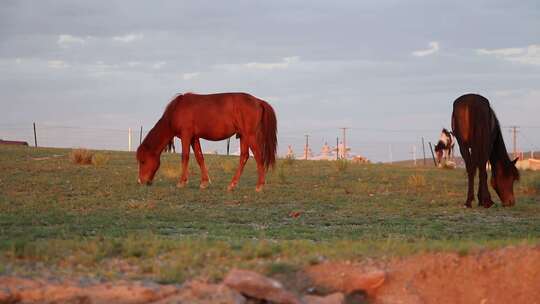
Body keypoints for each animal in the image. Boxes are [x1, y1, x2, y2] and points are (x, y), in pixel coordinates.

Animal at [135, 93, 278, 192]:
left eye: (143, 161)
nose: (141, 181)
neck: (177, 109)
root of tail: (258, 101)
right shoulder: (194, 138)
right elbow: (200, 157)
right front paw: (204, 182)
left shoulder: (186, 135)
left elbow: (185, 157)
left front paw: (182, 182)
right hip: (243, 136)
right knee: (244, 157)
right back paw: (232, 185)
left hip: (250, 135)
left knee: (258, 156)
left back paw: (259, 185)